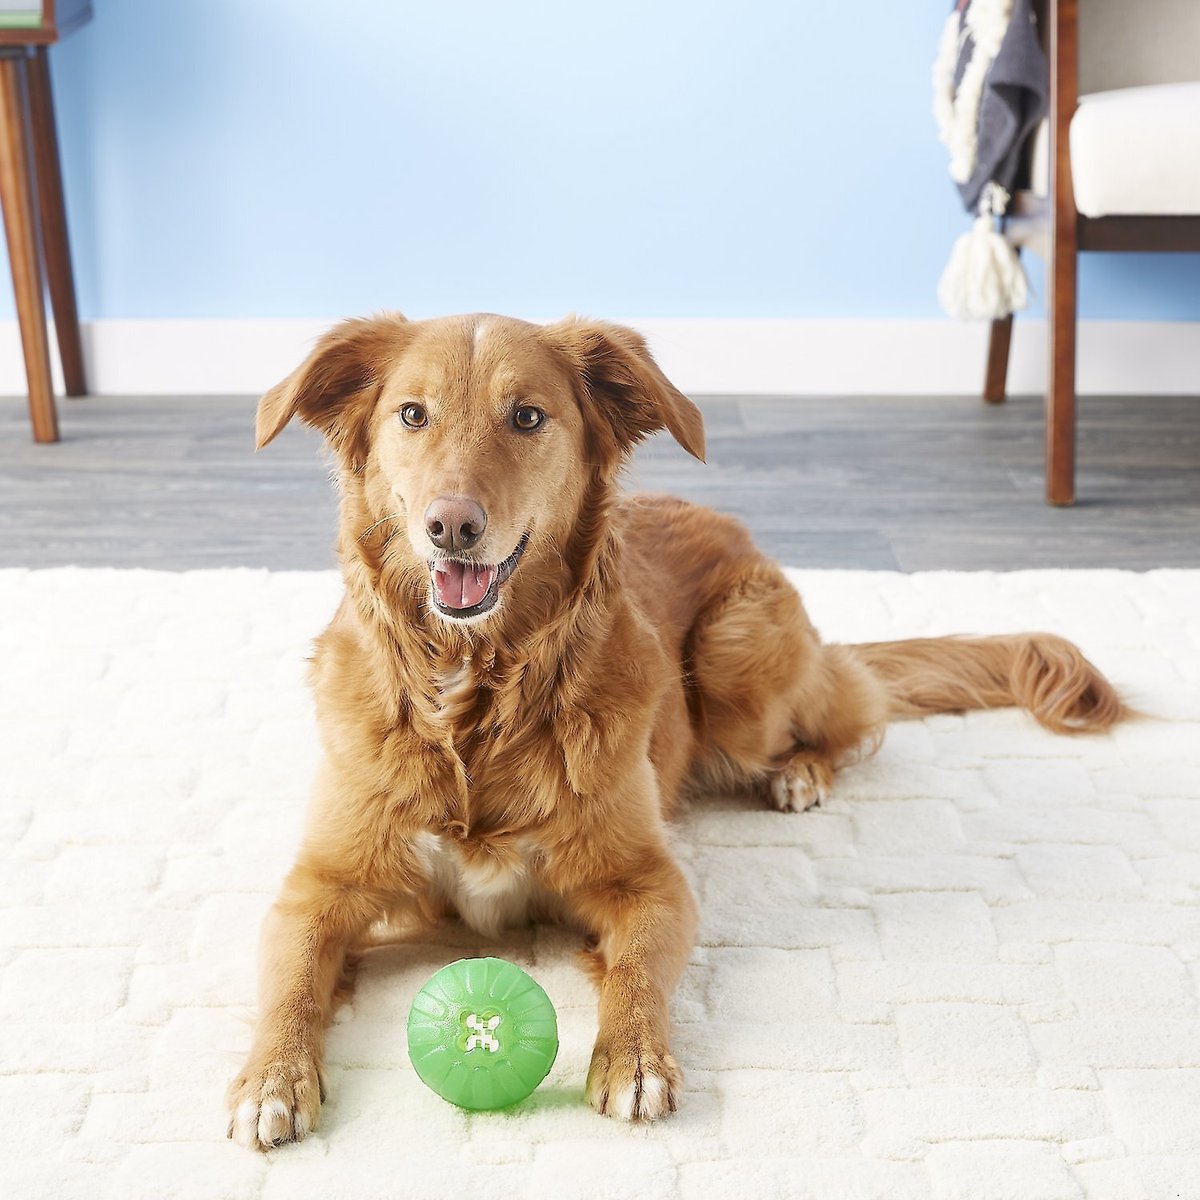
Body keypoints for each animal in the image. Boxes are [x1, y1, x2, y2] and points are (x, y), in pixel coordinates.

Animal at [225, 314, 1123, 1147]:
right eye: (412, 414)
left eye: (527, 417)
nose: (452, 526)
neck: (478, 694)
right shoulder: (318, 888)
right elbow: (292, 981)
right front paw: (270, 1079)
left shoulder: (649, 881)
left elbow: (636, 973)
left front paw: (633, 1058)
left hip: (737, 667)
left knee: (854, 707)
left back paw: (801, 773)